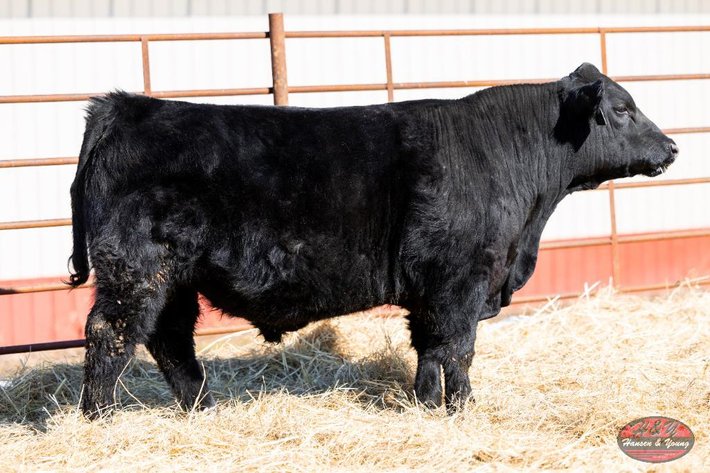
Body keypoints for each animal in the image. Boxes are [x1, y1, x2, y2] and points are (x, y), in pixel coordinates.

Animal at [68, 63, 677, 418]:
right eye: (622, 109)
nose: (671, 147)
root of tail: (127, 106)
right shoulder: (462, 280)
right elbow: (458, 348)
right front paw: (461, 411)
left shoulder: (432, 290)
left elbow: (430, 347)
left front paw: (427, 406)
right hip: (136, 269)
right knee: (111, 334)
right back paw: (101, 419)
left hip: (173, 279)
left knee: (169, 339)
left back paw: (202, 408)